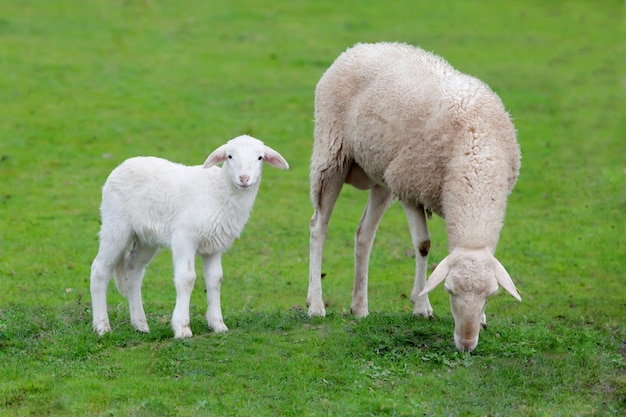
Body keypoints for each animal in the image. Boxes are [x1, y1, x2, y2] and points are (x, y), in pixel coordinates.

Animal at [89, 135, 288, 336]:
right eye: (229, 156)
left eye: (260, 158)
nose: (244, 178)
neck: (220, 191)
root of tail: (121, 166)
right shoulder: (184, 238)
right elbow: (187, 278)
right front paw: (182, 328)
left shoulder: (214, 246)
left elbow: (215, 279)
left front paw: (218, 325)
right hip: (116, 225)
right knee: (99, 269)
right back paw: (102, 326)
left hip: (146, 237)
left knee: (133, 268)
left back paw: (140, 324)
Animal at [304, 43, 520, 352]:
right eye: (449, 291)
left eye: (490, 296)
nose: (466, 345)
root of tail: (358, 47)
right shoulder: (409, 187)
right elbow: (423, 246)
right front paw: (421, 305)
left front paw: (481, 320)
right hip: (332, 155)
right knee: (318, 227)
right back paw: (316, 305)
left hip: (382, 174)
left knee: (364, 235)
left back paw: (360, 308)